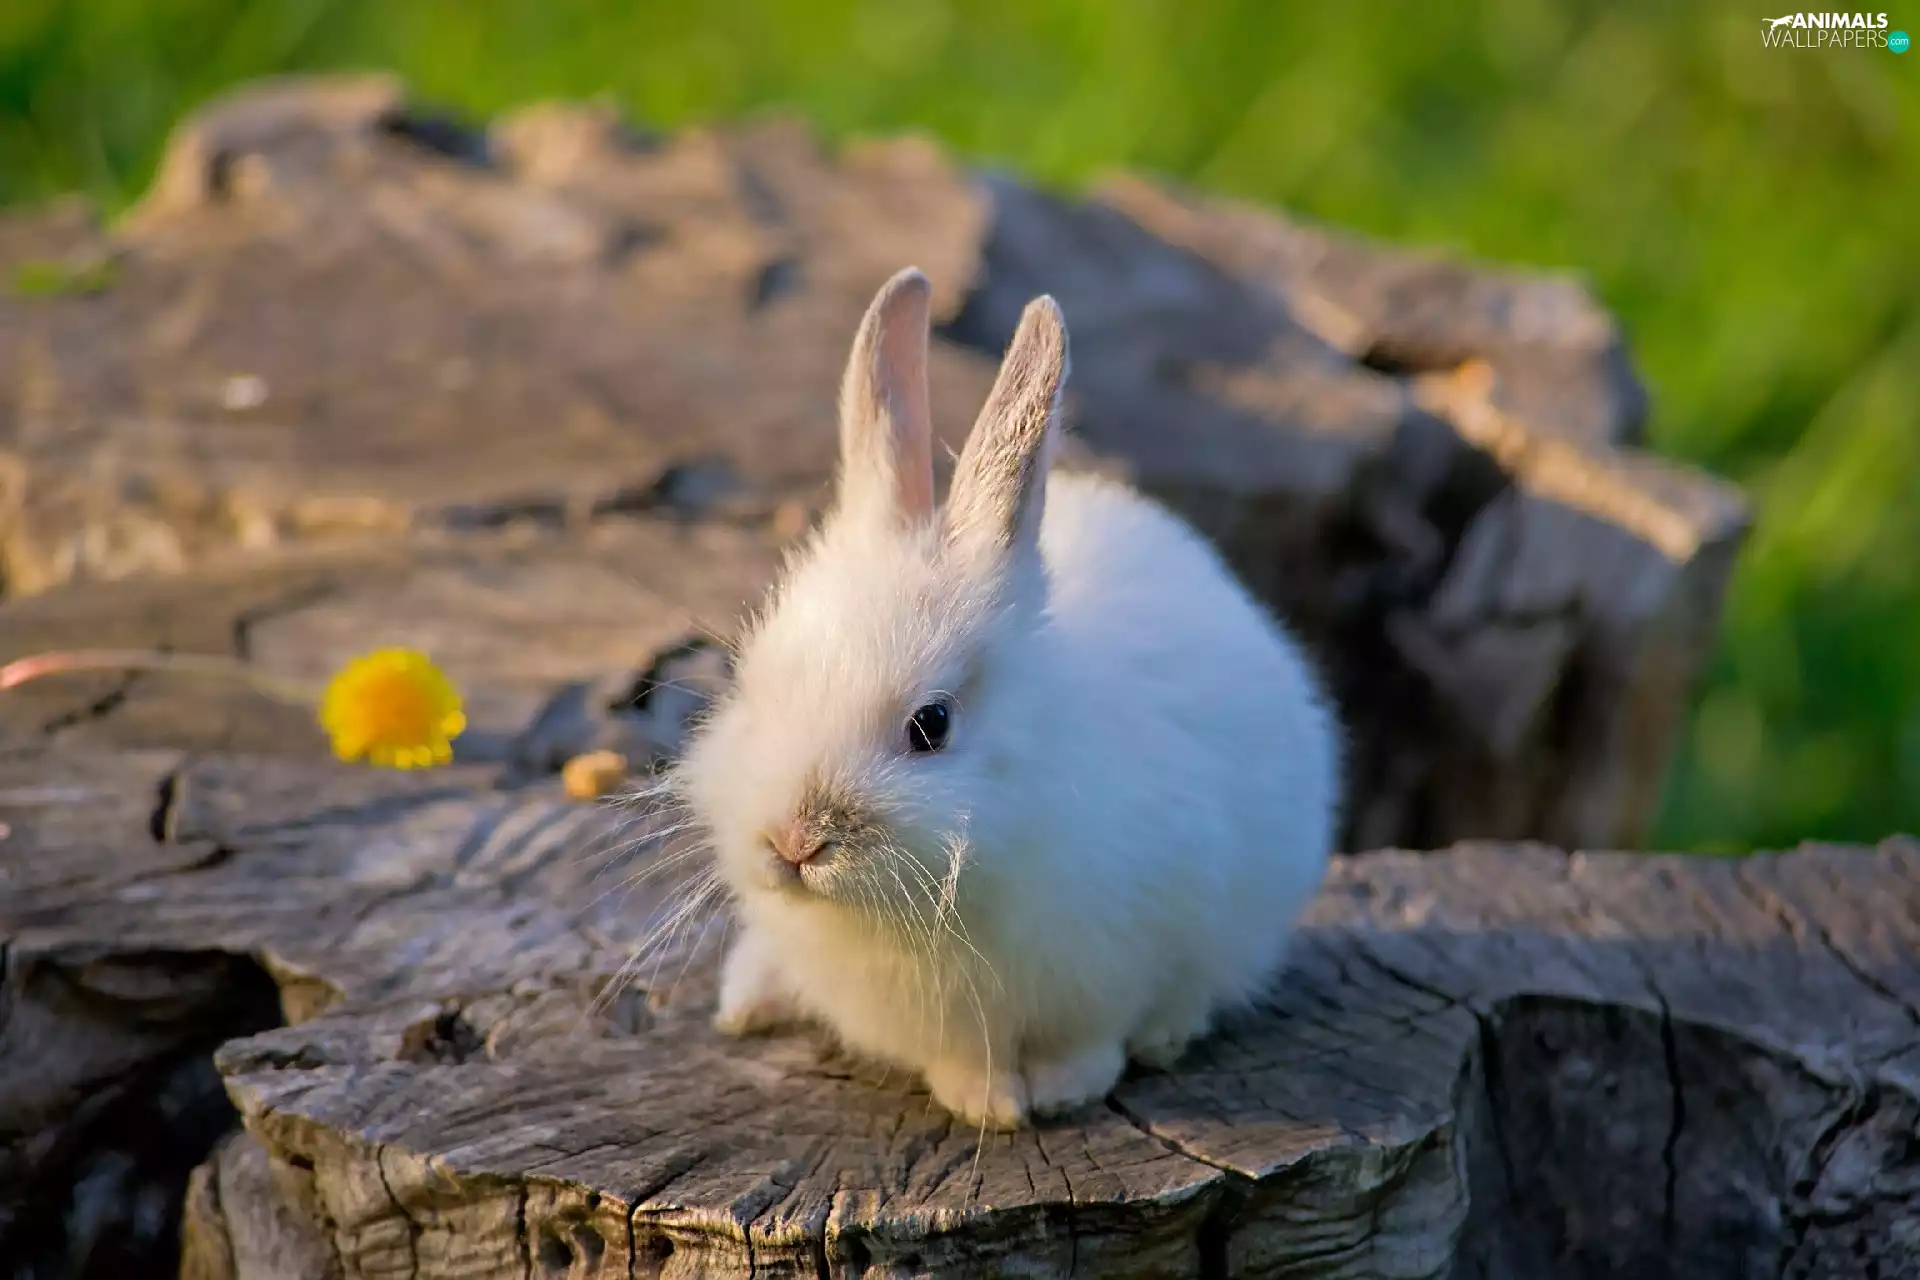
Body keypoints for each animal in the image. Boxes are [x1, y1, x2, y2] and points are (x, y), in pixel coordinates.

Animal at [672, 266, 1340, 1129]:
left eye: (931, 725)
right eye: (750, 684)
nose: (793, 842)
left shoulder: (1117, 965)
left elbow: (1092, 1039)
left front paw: (1060, 1092)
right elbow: (962, 1059)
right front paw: (985, 1103)